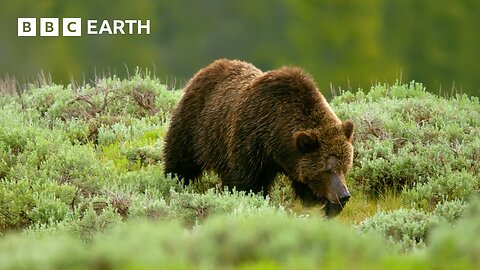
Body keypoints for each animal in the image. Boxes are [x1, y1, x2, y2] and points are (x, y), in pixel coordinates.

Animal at [163, 58, 354, 217]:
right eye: (327, 169)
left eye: (345, 167)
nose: (344, 195)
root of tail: (207, 68)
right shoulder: (251, 141)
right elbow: (247, 183)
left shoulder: (295, 161)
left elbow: (308, 191)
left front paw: (328, 208)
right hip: (194, 128)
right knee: (180, 162)